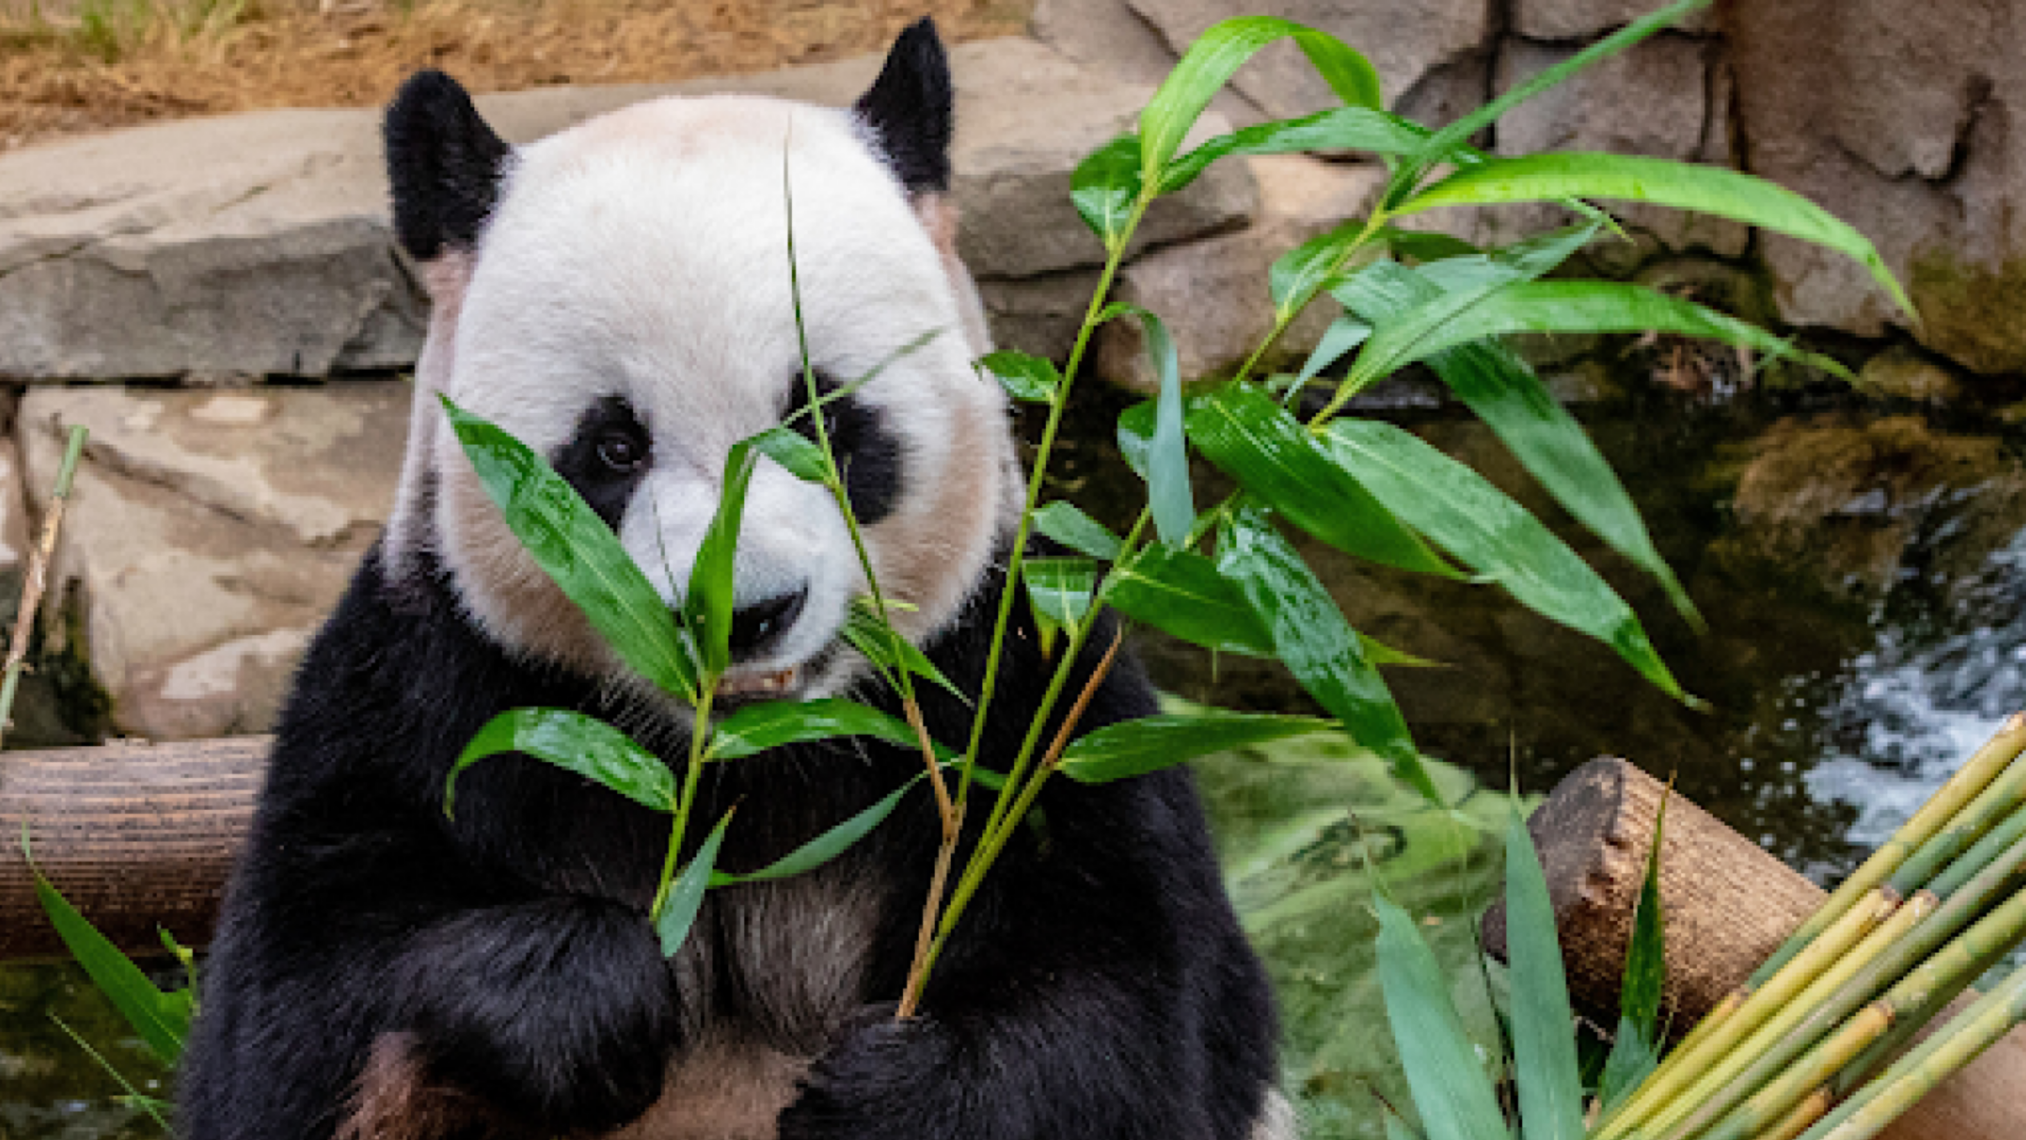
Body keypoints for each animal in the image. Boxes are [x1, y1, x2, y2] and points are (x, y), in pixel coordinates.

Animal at [178, 17, 1280, 1140]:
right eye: (613, 448)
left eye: (823, 419)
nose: (742, 616)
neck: (747, 761)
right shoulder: (427, 683)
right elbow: (296, 1006)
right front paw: (583, 997)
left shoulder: (1019, 693)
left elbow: (1128, 1010)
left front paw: (891, 1093)